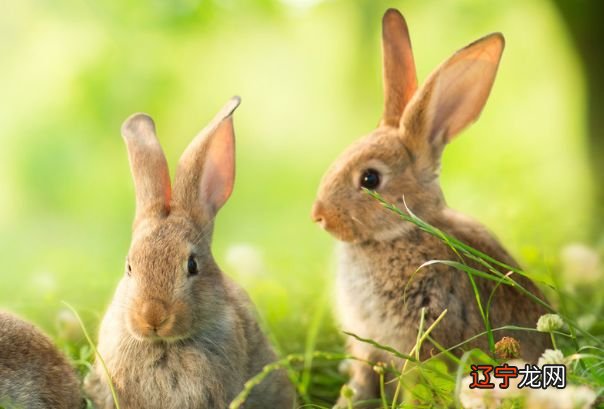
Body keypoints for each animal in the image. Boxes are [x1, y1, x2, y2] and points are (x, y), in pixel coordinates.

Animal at [312, 7, 552, 406]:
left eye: (370, 179)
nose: (319, 216)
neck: (402, 232)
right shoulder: (369, 348)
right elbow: (361, 379)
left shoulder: (424, 336)